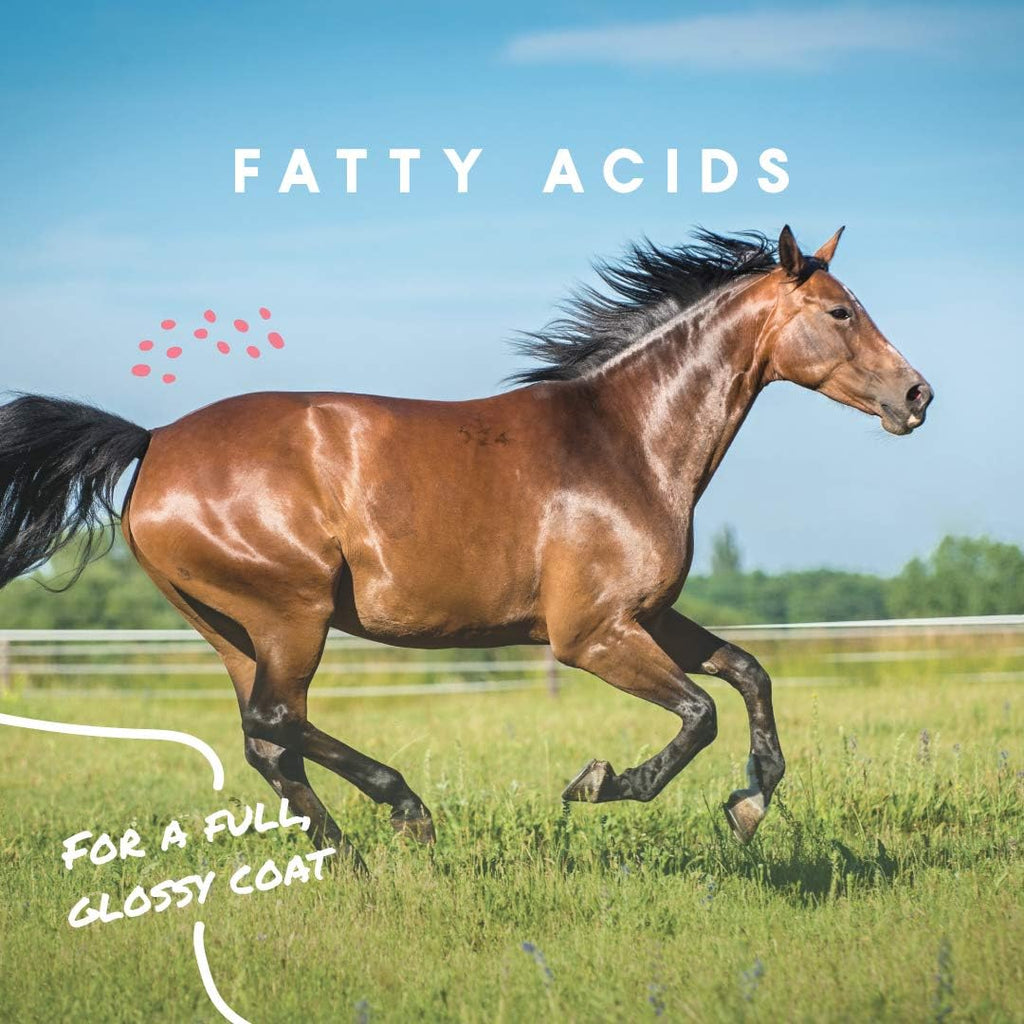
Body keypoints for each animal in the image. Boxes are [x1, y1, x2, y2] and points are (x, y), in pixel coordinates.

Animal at [0, 226, 932, 866]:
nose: (917, 395)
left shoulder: (646, 616)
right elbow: (700, 713)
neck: (625, 441)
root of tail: (153, 441)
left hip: (230, 629)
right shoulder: (590, 635)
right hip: (289, 614)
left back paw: (349, 859)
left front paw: (748, 802)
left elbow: (748, 673)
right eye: (840, 311)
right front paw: (602, 783)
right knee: (276, 722)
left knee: (268, 740)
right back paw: (404, 811)